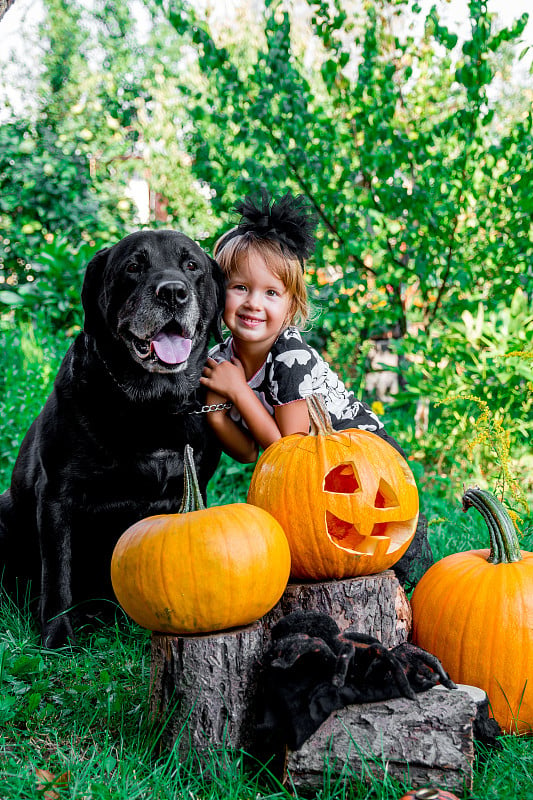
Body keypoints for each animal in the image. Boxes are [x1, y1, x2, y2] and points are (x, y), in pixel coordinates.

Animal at [0, 228, 224, 648]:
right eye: (133, 267)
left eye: (191, 265)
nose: (173, 292)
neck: (152, 406)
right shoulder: (55, 495)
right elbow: (58, 572)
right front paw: (57, 638)